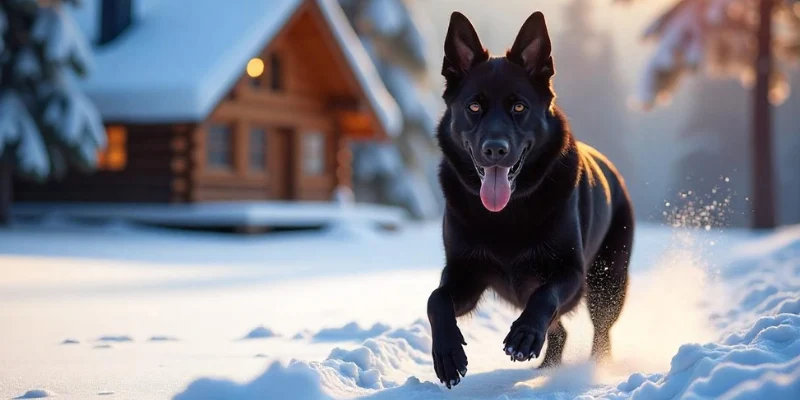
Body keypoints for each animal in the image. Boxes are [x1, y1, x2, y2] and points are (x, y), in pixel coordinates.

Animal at [428, 11, 636, 388]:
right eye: (474, 106)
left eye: (519, 106)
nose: (495, 150)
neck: (507, 214)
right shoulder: (464, 274)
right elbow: (435, 300)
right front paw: (448, 354)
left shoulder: (570, 273)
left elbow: (545, 295)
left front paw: (524, 334)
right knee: (562, 333)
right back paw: (547, 368)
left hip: (609, 282)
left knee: (601, 333)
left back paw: (592, 368)